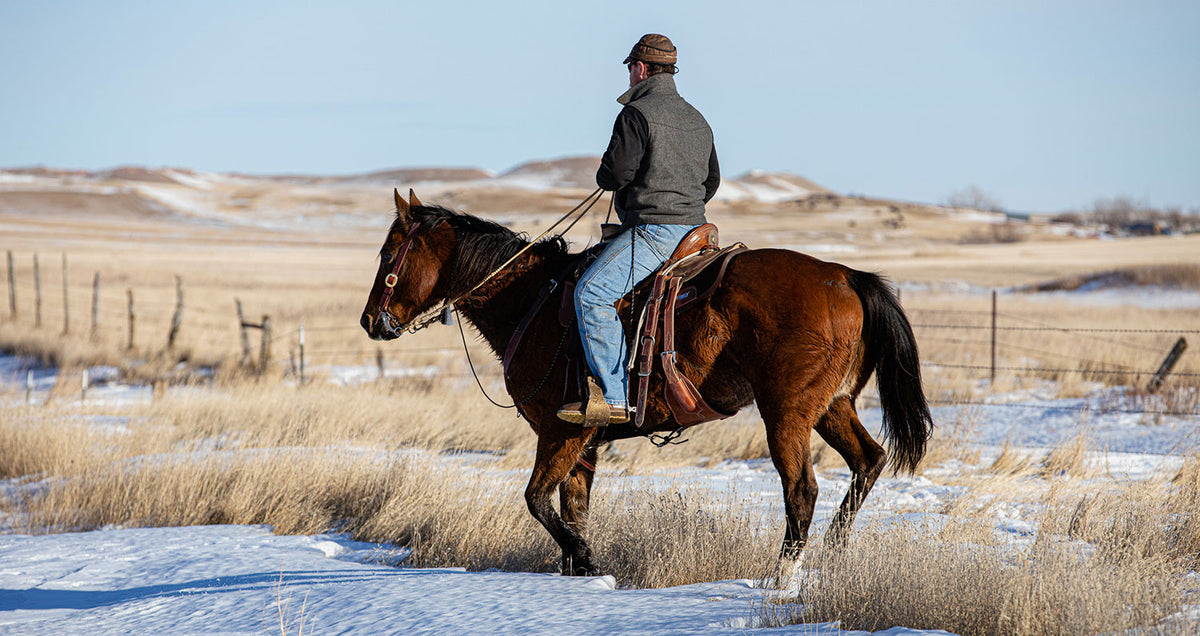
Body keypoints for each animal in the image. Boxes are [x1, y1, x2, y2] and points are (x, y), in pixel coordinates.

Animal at [360, 189, 933, 576]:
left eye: (389, 254)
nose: (370, 322)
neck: (531, 302)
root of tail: (846, 276)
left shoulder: (560, 431)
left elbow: (537, 500)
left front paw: (588, 559)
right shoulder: (585, 442)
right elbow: (573, 507)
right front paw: (579, 571)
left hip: (786, 413)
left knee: (802, 490)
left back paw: (780, 579)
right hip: (833, 406)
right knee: (868, 461)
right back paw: (832, 557)